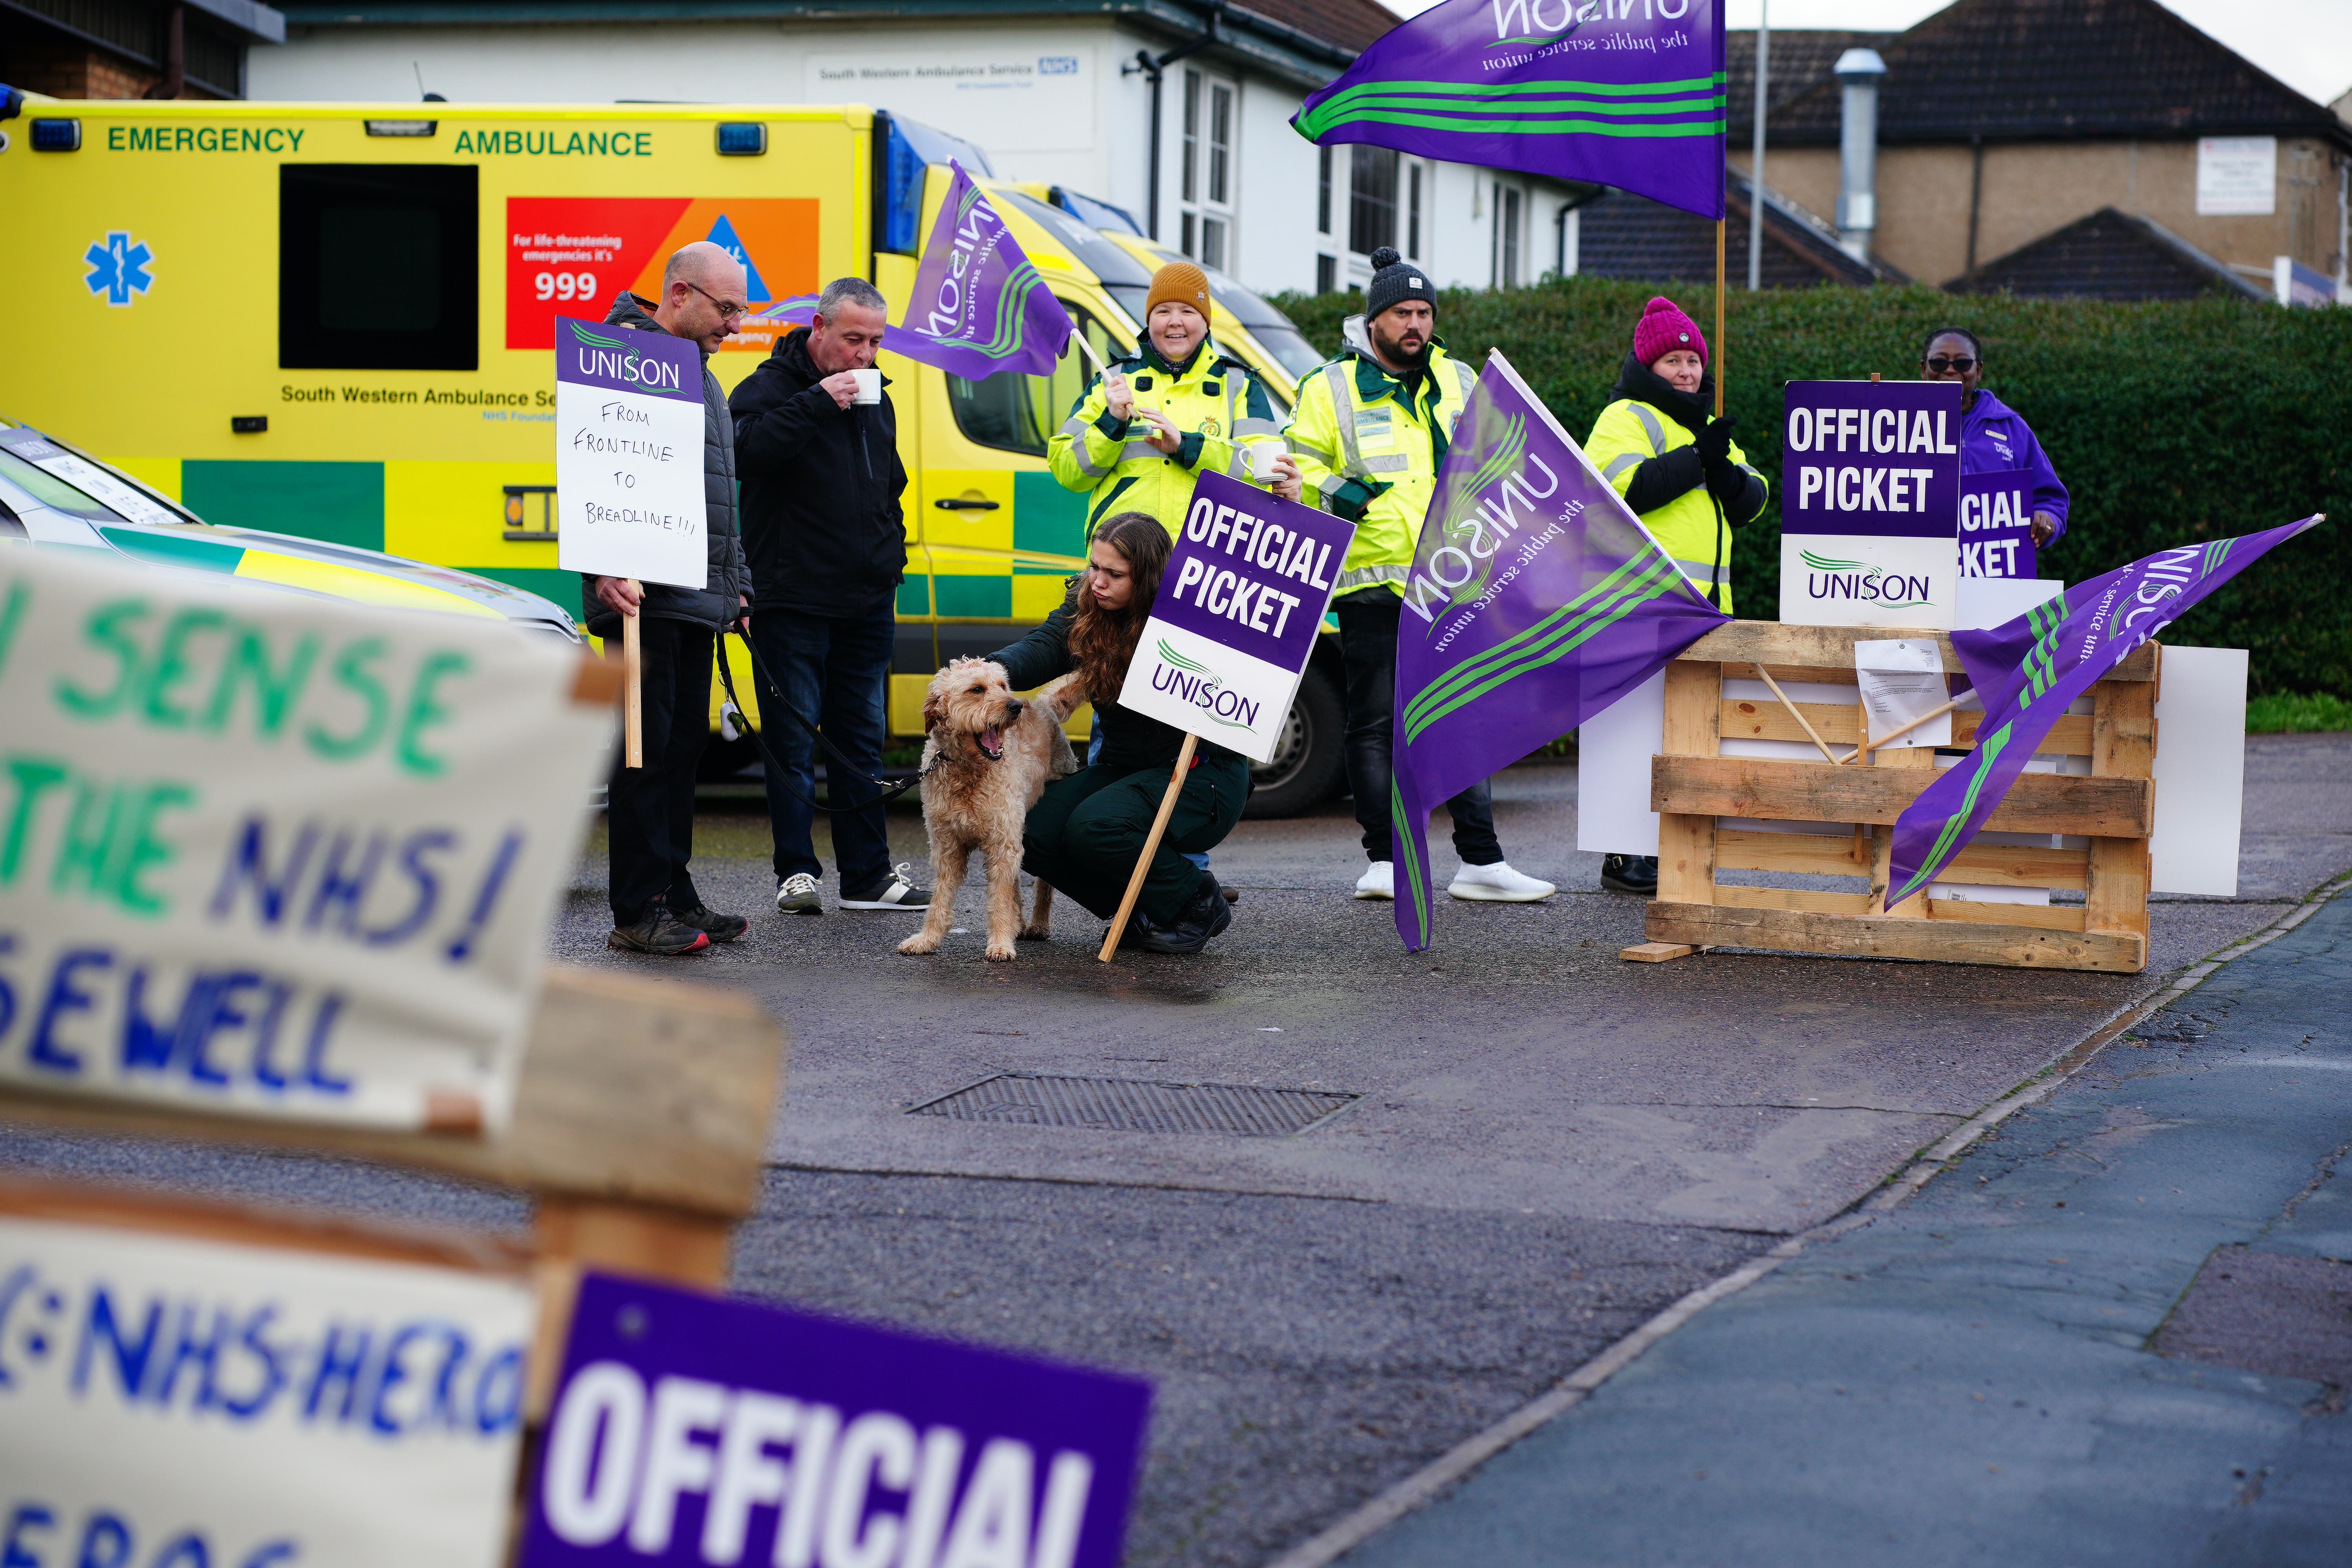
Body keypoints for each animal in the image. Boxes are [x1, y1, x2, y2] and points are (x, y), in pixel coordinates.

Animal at [894, 658, 1087, 959]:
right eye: (977, 689)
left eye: (1003, 685)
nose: (1015, 706)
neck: (968, 772)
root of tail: (1044, 705)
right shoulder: (947, 845)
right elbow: (941, 897)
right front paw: (927, 939)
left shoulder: (1002, 841)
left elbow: (1000, 898)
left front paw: (1000, 943)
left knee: (1042, 884)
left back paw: (1038, 925)